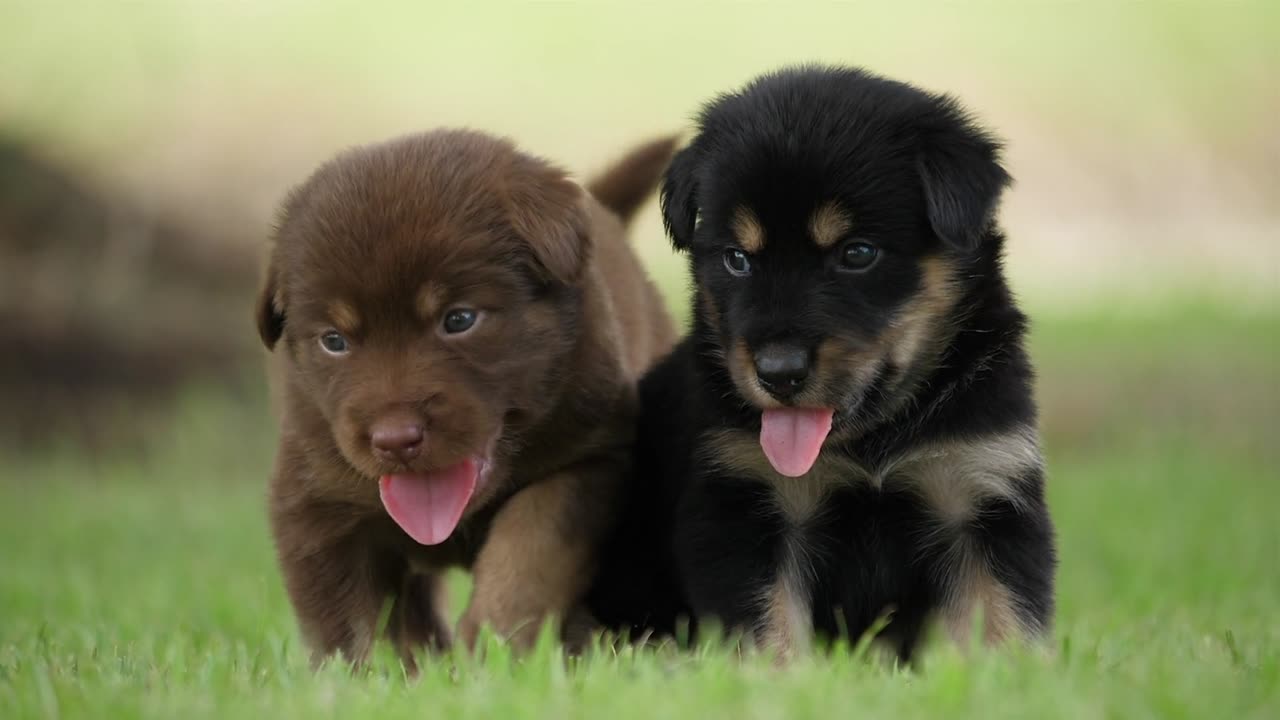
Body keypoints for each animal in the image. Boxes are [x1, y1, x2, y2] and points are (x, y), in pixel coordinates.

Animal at [257, 127, 680, 661]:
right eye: (334, 341)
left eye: (459, 319)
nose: (395, 439)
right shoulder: (315, 503)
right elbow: (347, 622)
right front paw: (373, 675)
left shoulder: (589, 457)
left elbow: (530, 549)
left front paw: (492, 647)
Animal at [593, 65, 1054, 655]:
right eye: (737, 259)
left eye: (857, 253)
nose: (778, 373)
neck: (872, 443)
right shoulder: (744, 502)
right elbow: (768, 626)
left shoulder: (984, 493)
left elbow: (1004, 617)